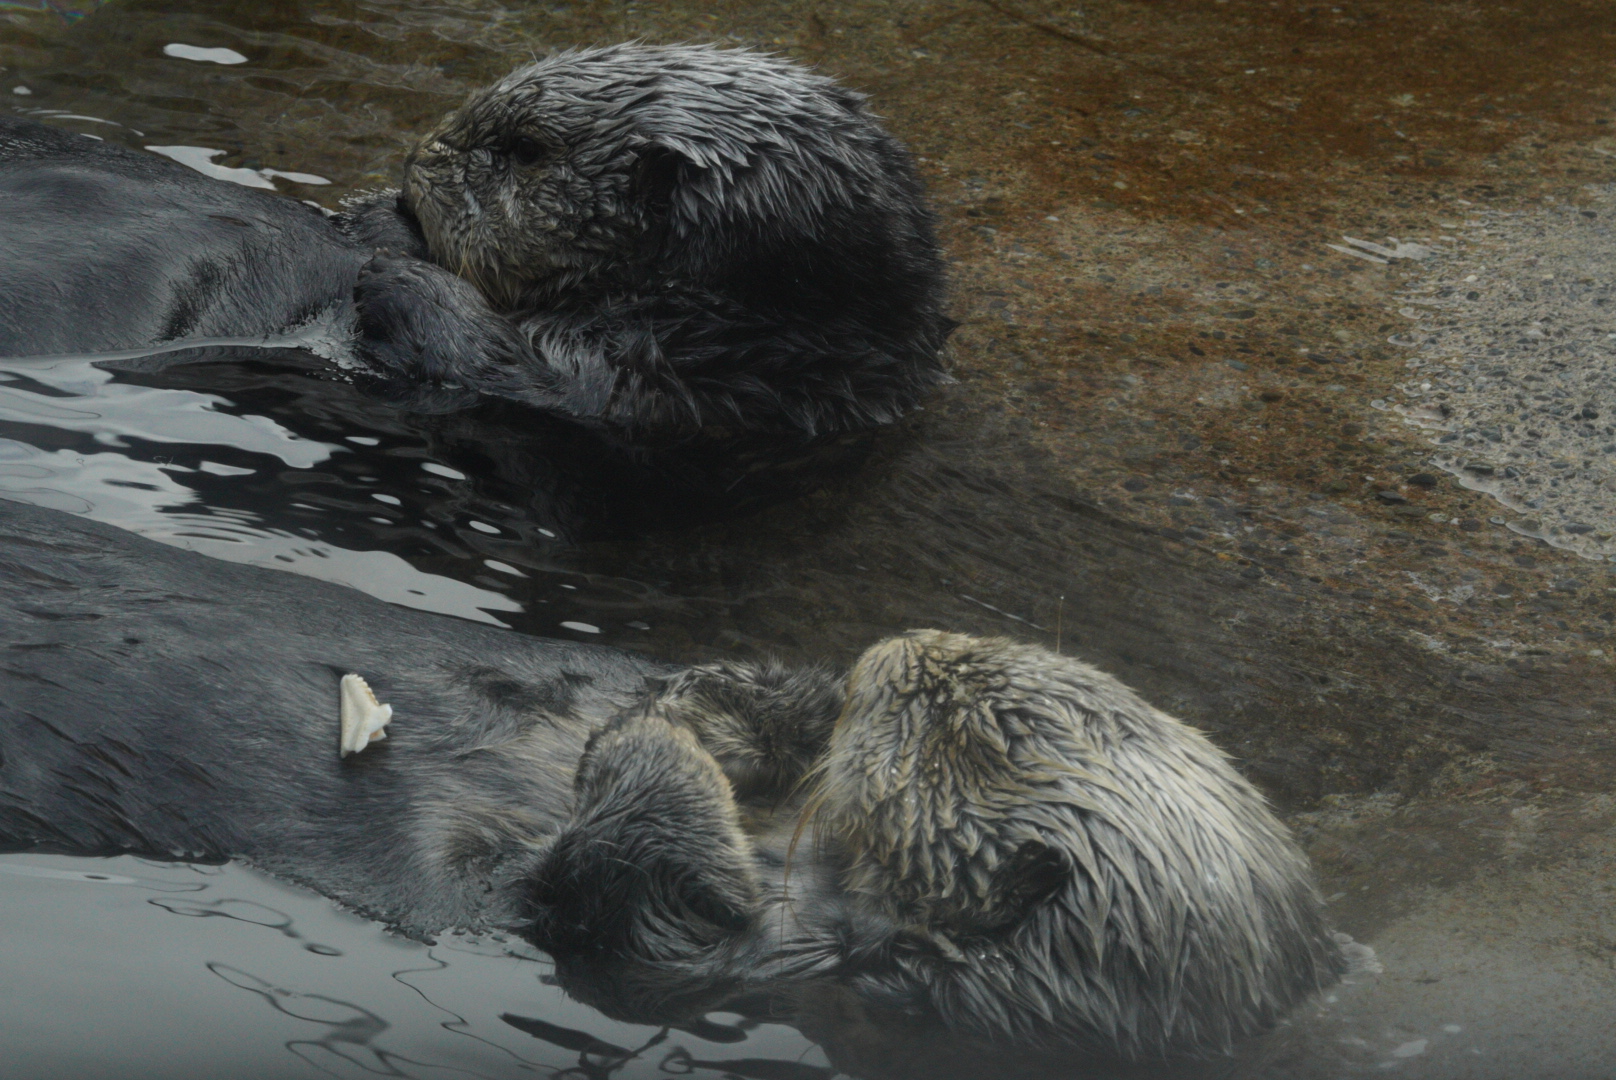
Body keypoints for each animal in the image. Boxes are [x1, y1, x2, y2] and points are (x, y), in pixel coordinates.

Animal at [0, 44, 950, 442]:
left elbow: (514, 375)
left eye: (524, 153)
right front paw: (379, 224)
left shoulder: (687, 385)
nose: (415, 161)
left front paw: (397, 274)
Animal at [0, 499, 1343, 1066]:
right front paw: (744, 699)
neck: (795, 849)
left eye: (987, 723)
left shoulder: (748, 959)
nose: (891, 650)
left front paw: (667, 738)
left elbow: (615, 897)